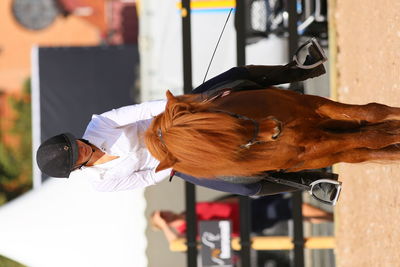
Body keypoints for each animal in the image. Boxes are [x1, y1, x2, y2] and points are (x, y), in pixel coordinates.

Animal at [145, 89, 400, 179]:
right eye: (234, 150)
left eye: (222, 115)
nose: (276, 128)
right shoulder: (313, 146)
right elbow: (373, 138)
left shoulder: (313, 104)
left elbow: (374, 111)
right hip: (326, 152)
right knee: (362, 150)